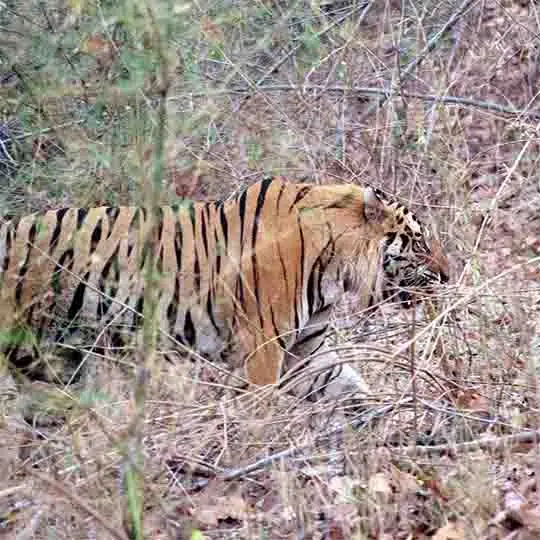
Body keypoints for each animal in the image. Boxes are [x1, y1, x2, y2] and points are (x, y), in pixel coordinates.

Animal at [0, 178, 448, 410]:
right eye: (420, 242)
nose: (448, 275)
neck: (336, 266)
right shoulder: (264, 348)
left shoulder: (307, 352)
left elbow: (350, 385)